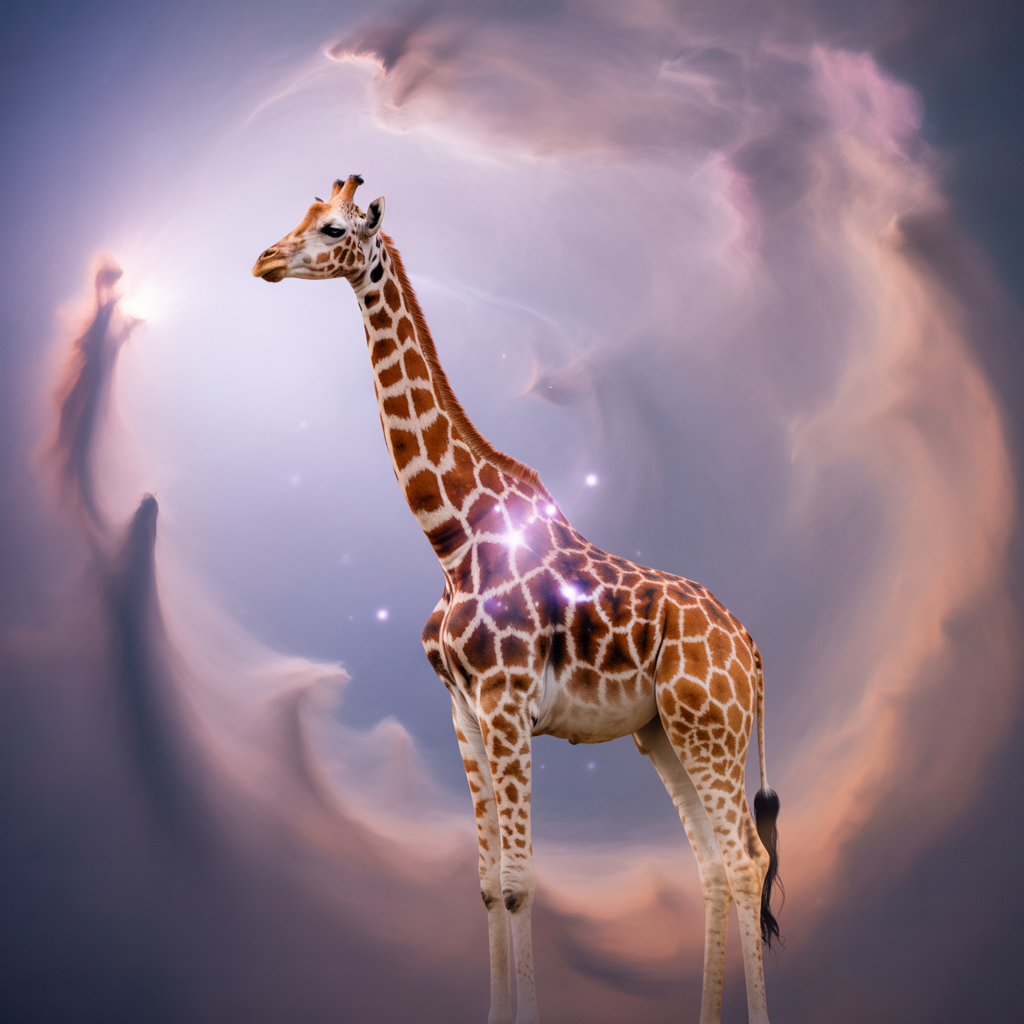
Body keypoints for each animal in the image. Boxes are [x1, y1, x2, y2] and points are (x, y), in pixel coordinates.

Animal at [252, 175, 781, 1024]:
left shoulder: (507, 705)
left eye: (332, 227)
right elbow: (486, 887)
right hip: (664, 733)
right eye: (301, 215)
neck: (452, 536)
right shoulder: (464, 714)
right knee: (708, 866)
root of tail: (754, 652)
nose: (264, 259)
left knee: (744, 862)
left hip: (713, 729)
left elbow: (521, 883)